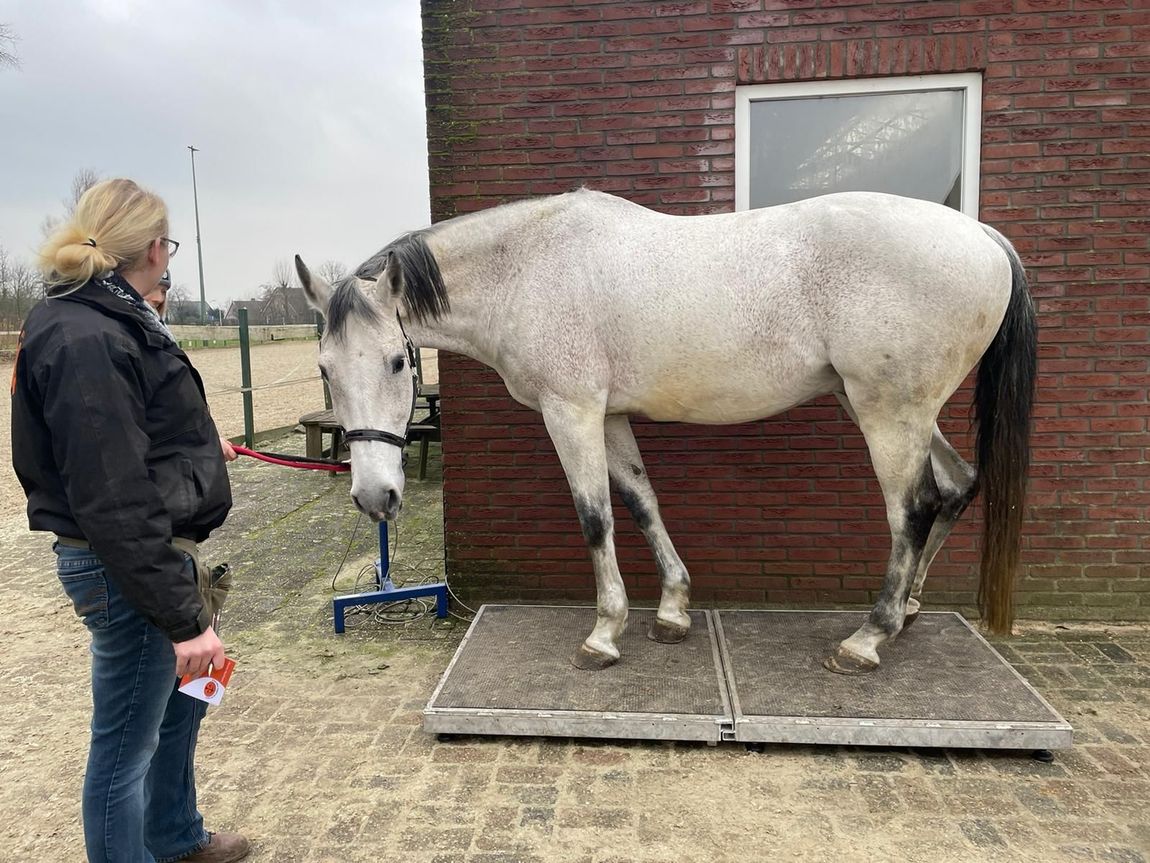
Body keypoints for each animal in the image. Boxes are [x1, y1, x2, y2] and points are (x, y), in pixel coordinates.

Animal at [295, 188, 1036, 675]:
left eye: (397, 362)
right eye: (325, 367)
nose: (375, 498)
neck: (529, 270)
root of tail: (986, 239)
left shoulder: (571, 411)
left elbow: (595, 516)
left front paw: (604, 633)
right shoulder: (611, 414)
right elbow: (641, 501)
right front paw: (673, 609)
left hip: (887, 411)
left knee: (912, 507)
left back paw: (869, 636)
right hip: (894, 410)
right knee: (956, 486)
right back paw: (907, 611)